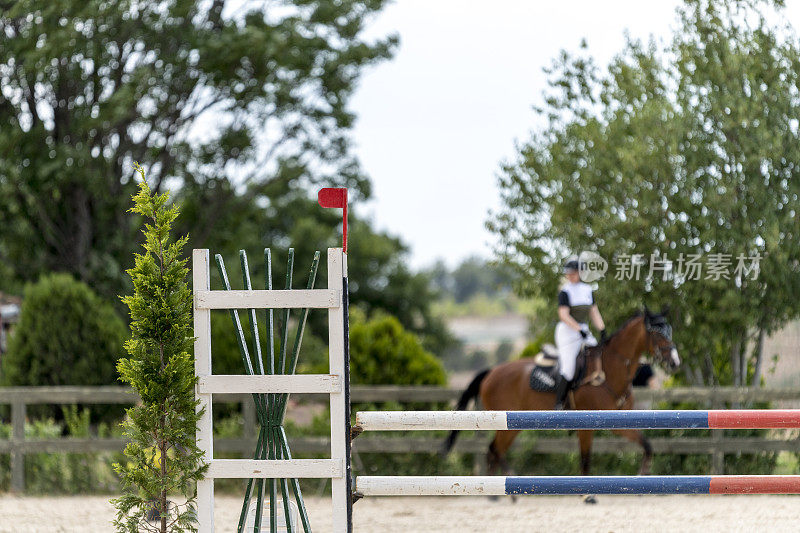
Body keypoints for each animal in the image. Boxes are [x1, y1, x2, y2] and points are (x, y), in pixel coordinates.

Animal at [444, 308, 680, 478]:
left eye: (670, 331)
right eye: (656, 333)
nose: (675, 362)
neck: (610, 370)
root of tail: (491, 372)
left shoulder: (618, 423)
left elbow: (647, 445)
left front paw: (643, 473)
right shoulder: (586, 427)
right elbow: (585, 461)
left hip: (511, 425)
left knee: (494, 451)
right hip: (506, 423)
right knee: (494, 450)